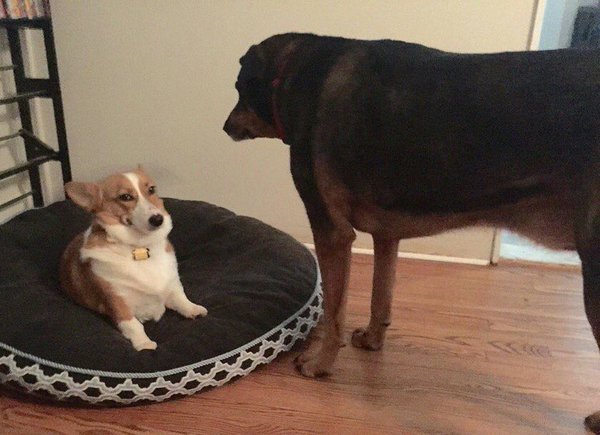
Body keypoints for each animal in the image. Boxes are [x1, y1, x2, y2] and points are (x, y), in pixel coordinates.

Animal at [224, 32, 600, 430]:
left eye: (239, 88)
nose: (225, 126)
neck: (290, 74)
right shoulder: (386, 234)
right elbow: (381, 297)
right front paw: (372, 340)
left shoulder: (331, 232)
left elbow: (334, 313)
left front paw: (320, 365)